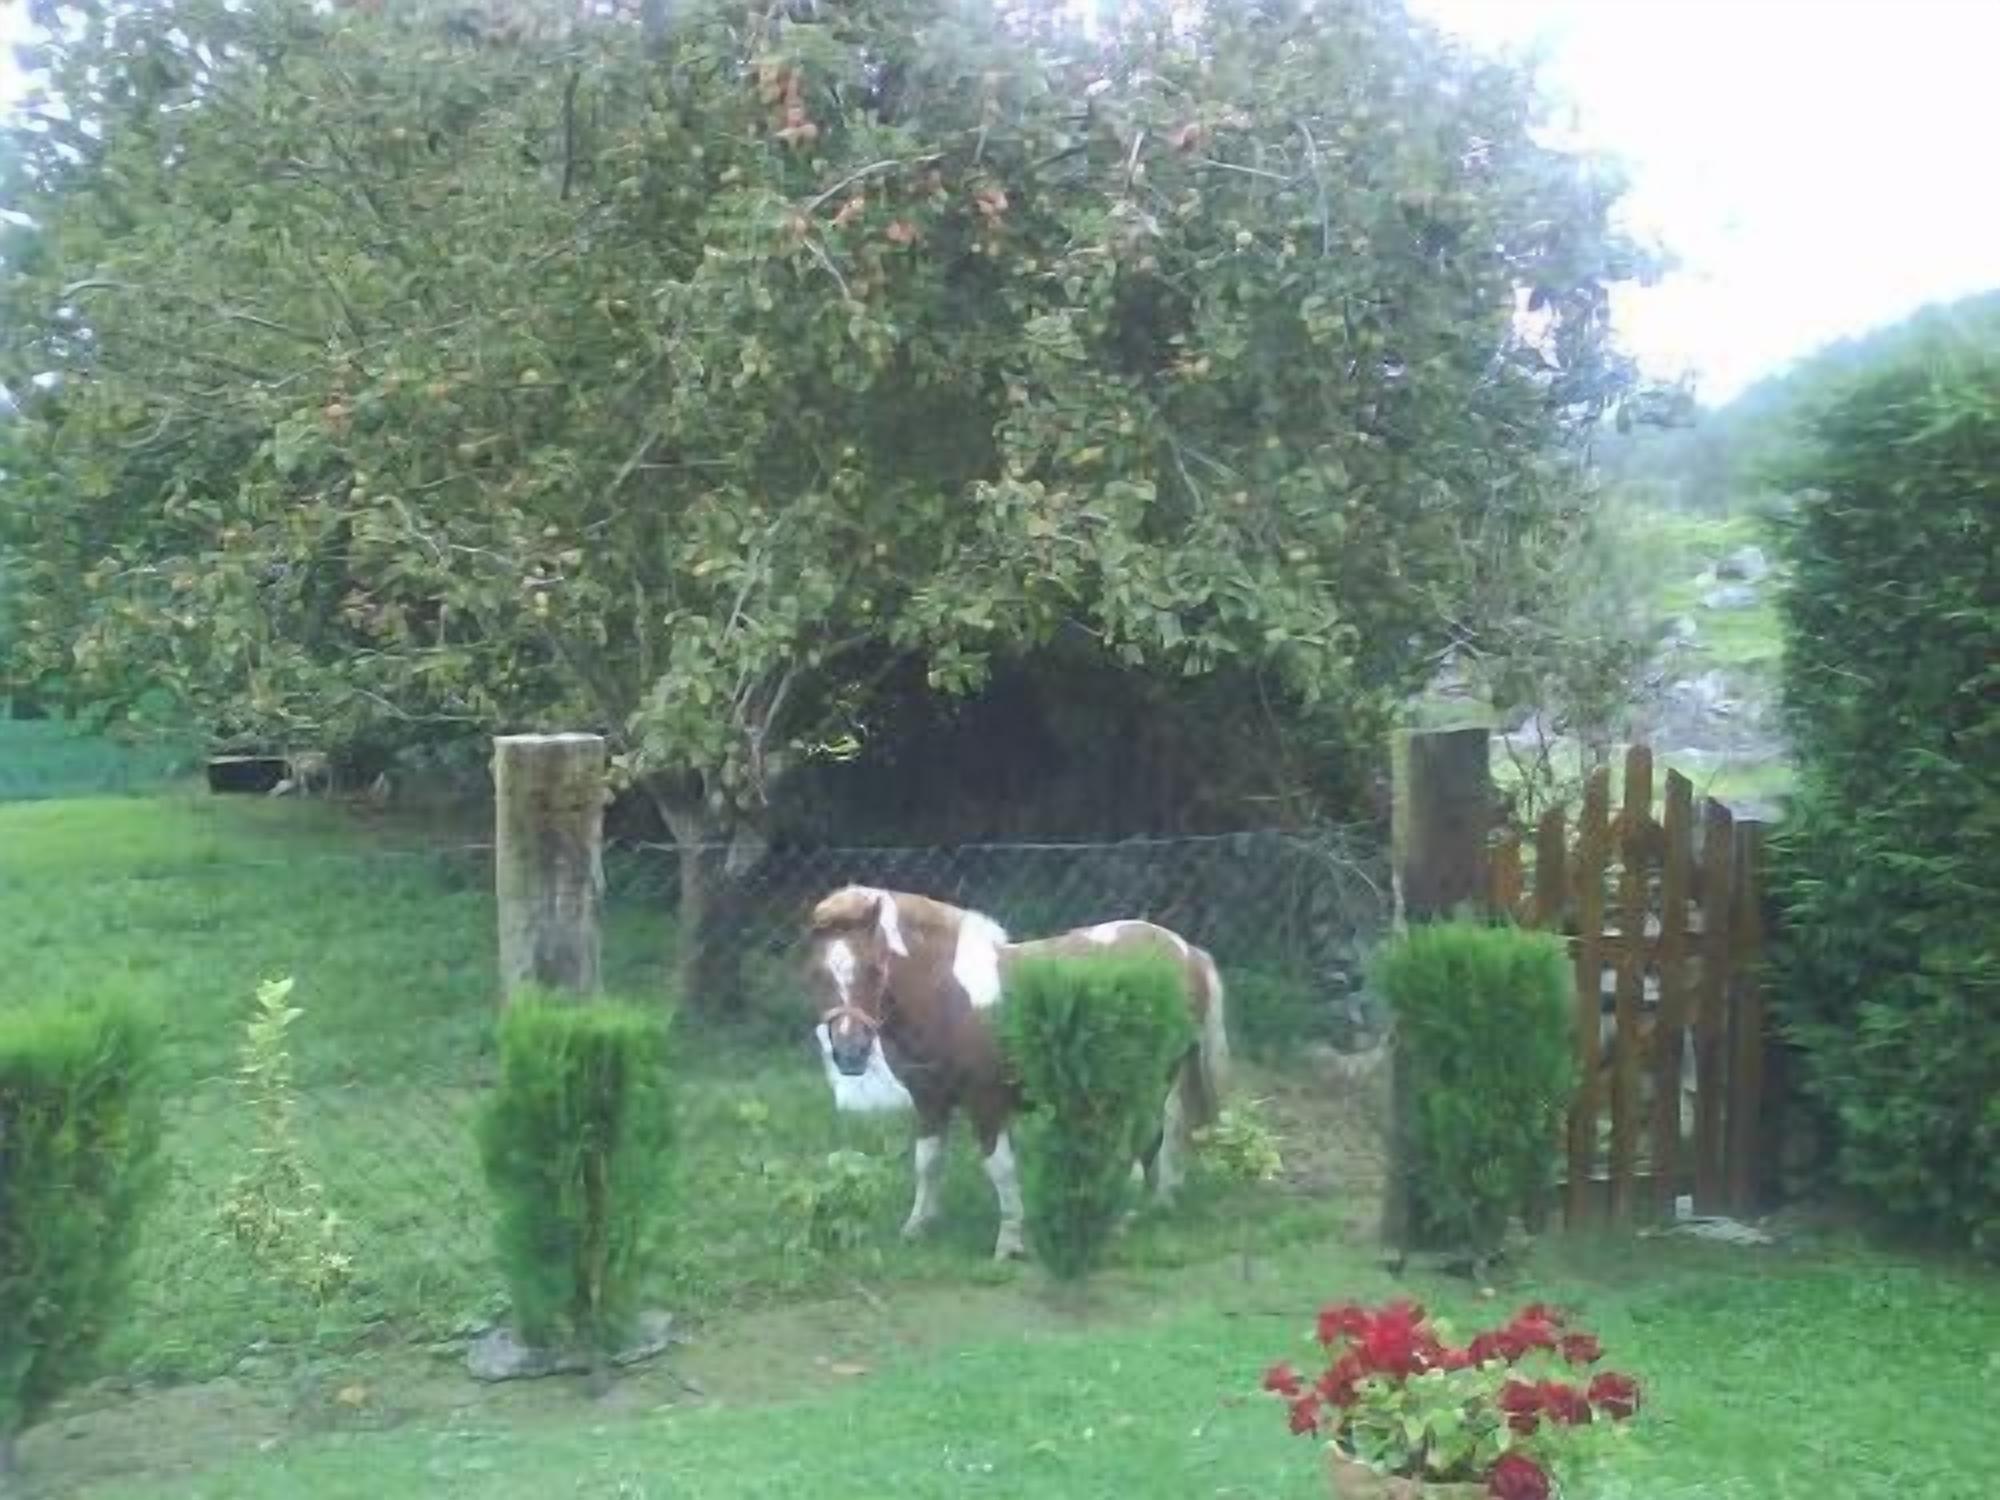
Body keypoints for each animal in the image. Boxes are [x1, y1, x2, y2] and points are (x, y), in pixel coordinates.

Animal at [801, 884, 1230, 1262]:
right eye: (818, 974)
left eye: (875, 970)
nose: (850, 1052)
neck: (950, 997)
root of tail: (1186, 951)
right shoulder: (930, 1101)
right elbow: (928, 1163)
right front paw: (917, 1227)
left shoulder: (987, 1102)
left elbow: (1001, 1169)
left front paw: (1009, 1242)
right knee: (1167, 1131)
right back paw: (1160, 1199)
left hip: (1152, 1078)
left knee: (1148, 1137)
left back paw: (1127, 1215)